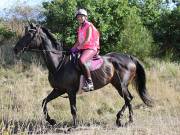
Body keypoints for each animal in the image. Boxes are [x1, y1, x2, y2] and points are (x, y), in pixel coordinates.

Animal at [13, 24, 153, 127]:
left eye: (29, 34)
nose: (15, 49)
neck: (59, 64)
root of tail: (130, 57)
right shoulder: (58, 90)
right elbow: (44, 102)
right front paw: (51, 121)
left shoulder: (70, 91)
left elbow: (73, 108)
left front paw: (74, 126)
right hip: (118, 84)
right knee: (129, 98)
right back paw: (120, 119)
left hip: (121, 85)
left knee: (128, 99)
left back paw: (128, 120)